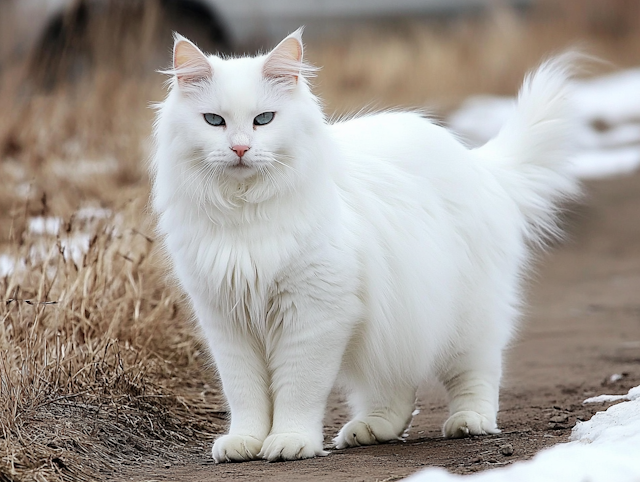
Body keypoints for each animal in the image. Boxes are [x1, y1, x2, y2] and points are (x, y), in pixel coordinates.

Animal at [151, 27, 580, 464]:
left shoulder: (313, 314)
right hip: (394, 320)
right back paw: (371, 430)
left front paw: (290, 441)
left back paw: (468, 422)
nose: (240, 148)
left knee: (477, 374)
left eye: (263, 119)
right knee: (395, 388)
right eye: (214, 121)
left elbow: (296, 390)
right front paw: (245, 441)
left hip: (465, 320)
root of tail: (476, 161)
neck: (244, 216)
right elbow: (245, 394)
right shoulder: (227, 322)